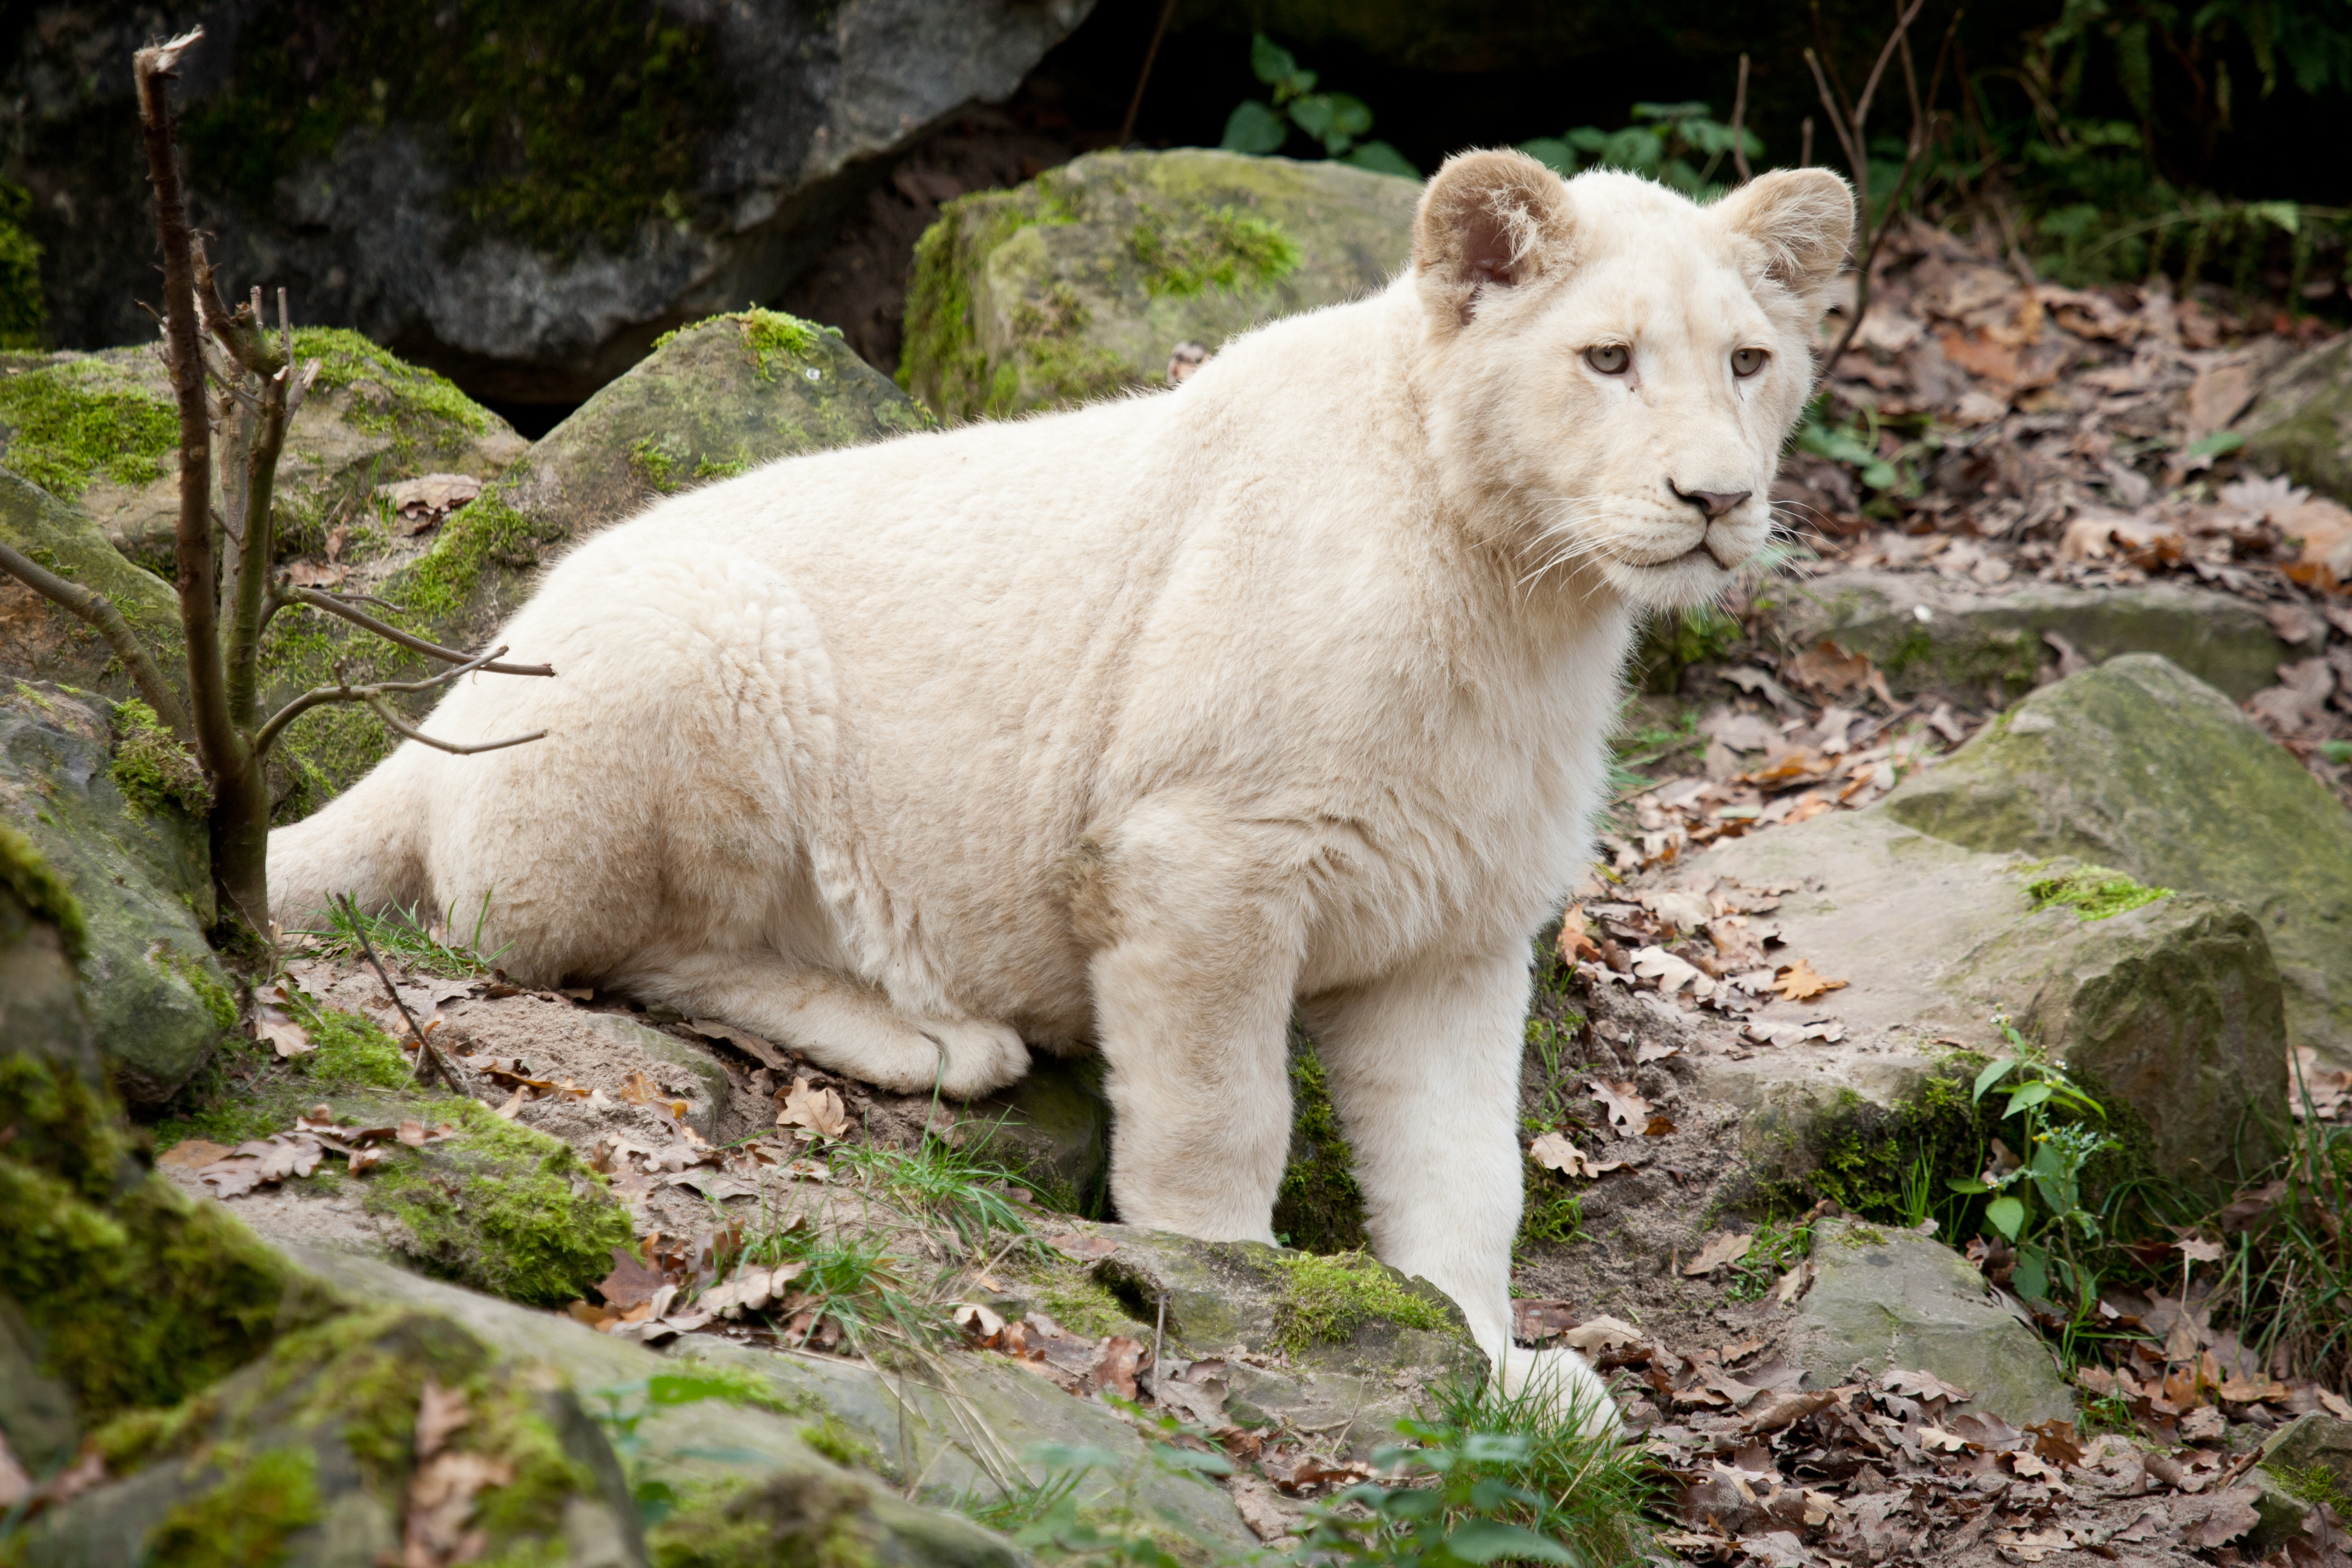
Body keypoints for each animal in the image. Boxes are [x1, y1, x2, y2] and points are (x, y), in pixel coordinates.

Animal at [275, 152, 1853, 1429]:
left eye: (1748, 361)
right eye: (1607, 358)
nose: (1716, 501)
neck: (1521, 602)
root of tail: (455, 692)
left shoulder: (1455, 920)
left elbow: (1465, 1172)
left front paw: (1496, 1369)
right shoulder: (1195, 852)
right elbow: (1222, 1110)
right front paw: (1254, 1293)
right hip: (704, 634)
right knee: (584, 946)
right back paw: (934, 1034)